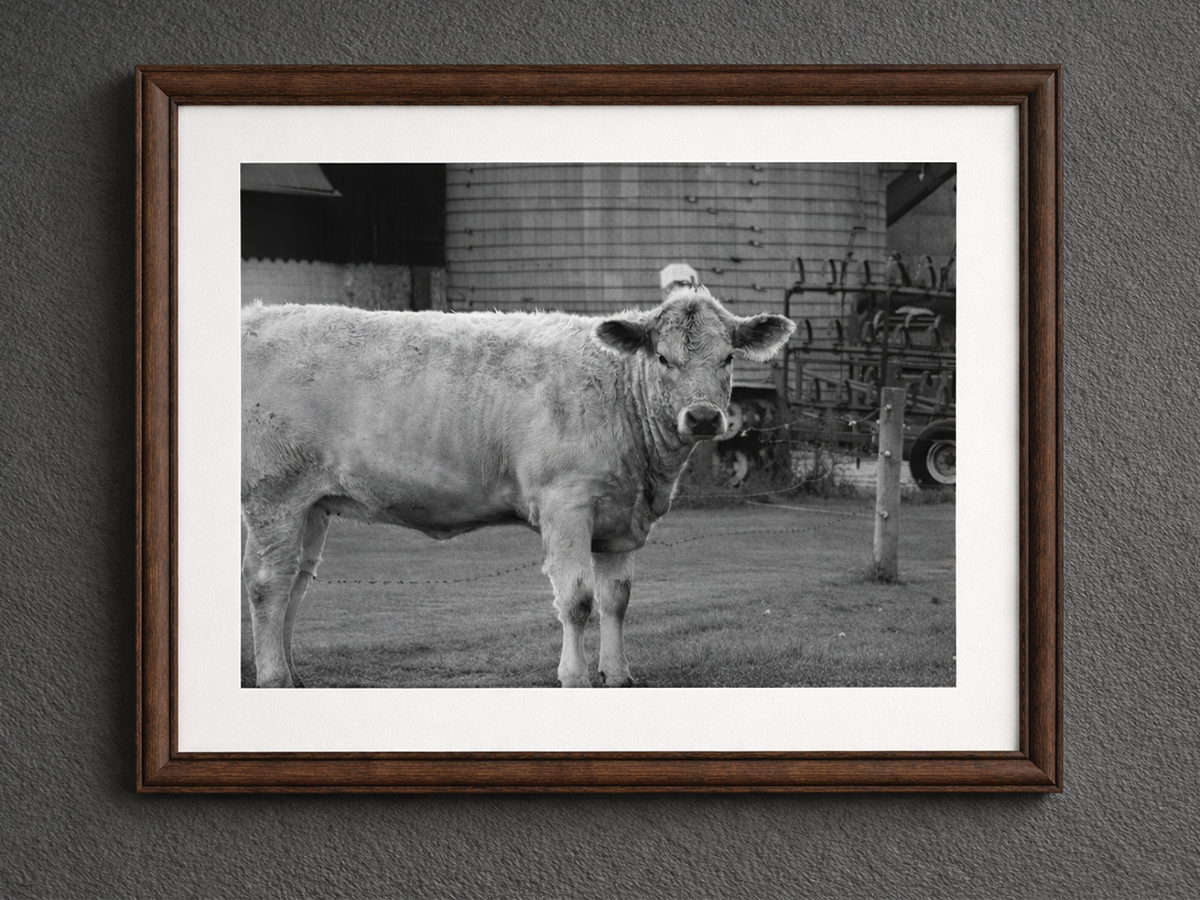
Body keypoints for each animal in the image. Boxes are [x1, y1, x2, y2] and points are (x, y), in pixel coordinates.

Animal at [241, 286, 795, 688]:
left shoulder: (621, 520)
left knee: (296, 580)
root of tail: (260, 314)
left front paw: (617, 674)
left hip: (312, 504)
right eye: (662, 357)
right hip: (274, 493)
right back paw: (273, 678)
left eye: (728, 358)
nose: (702, 417)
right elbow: (577, 599)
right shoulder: (566, 504)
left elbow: (616, 599)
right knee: (268, 581)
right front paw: (574, 677)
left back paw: (292, 673)